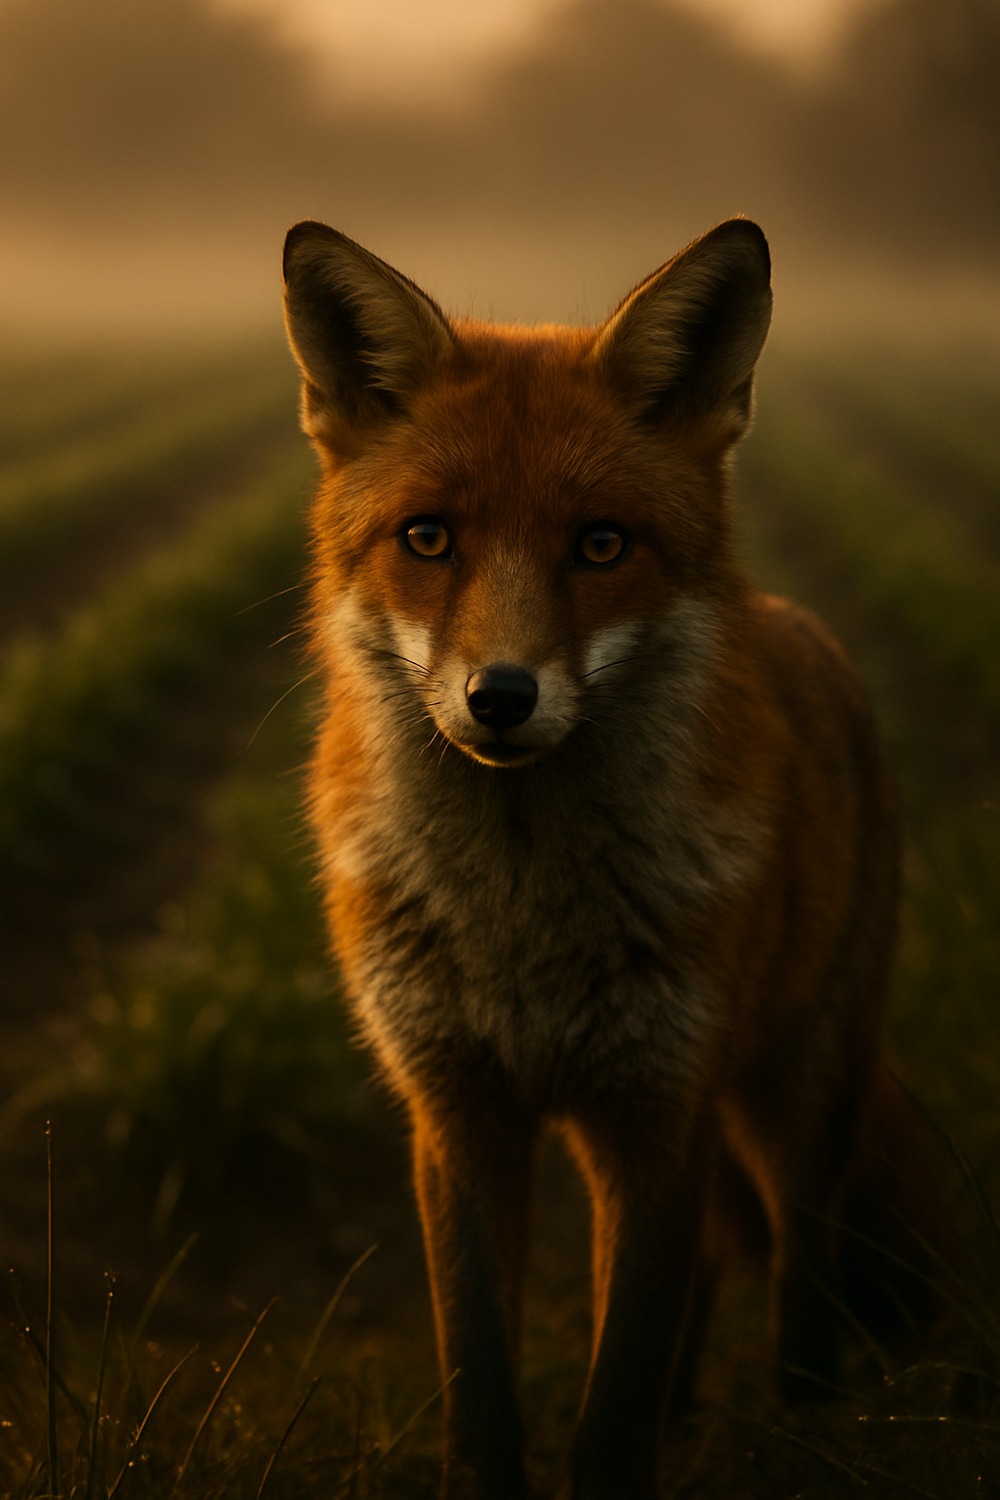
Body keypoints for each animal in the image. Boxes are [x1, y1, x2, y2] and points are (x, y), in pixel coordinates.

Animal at [282, 218, 928, 1500]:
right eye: (427, 538)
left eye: (599, 545)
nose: (500, 696)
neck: (519, 922)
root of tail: (800, 626)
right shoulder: (461, 1112)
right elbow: (484, 1384)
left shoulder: (657, 1107)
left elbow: (608, 1412)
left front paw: (645, 1443)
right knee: (710, 1278)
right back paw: (697, 1412)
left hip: (795, 1089)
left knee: (800, 1254)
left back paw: (806, 1422)